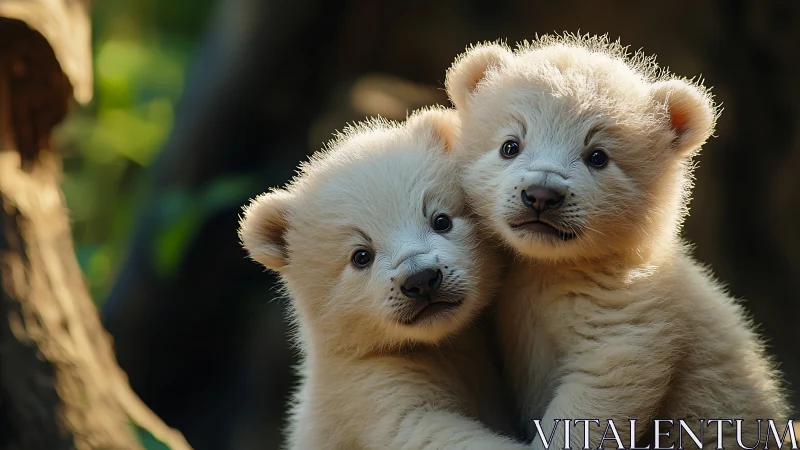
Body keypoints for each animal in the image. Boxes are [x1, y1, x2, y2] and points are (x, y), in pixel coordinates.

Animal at [444, 34, 790, 449]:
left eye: (598, 156)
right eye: (510, 145)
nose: (541, 195)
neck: (551, 265)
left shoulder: (630, 306)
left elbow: (603, 383)